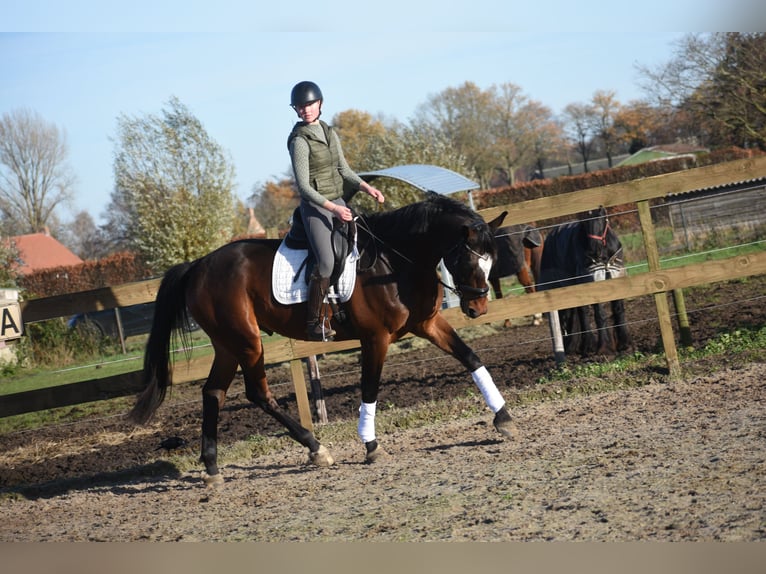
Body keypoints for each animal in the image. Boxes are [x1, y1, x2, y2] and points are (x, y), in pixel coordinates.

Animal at [129, 194, 515, 486]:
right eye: (467, 259)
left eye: (492, 260)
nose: (478, 307)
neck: (395, 261)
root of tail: (198, 266)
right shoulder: (375, 338)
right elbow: (370, 388)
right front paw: (371, 445)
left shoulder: (428, 324)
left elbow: (471, 357)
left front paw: (503, 418)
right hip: (246, 342)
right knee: (257, 393)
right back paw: (316, 448)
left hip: (228, 344)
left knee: (213, 393)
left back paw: (212, 468)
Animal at [537, 206, 631, 356]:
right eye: (585, 223)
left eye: (602, 219)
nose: (594, 250)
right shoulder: (593, 281)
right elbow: (599, 314)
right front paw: (604, 347)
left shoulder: (616, 276)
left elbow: (618, 309)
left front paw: (624, 344)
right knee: (579, 313)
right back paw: (585, 346)